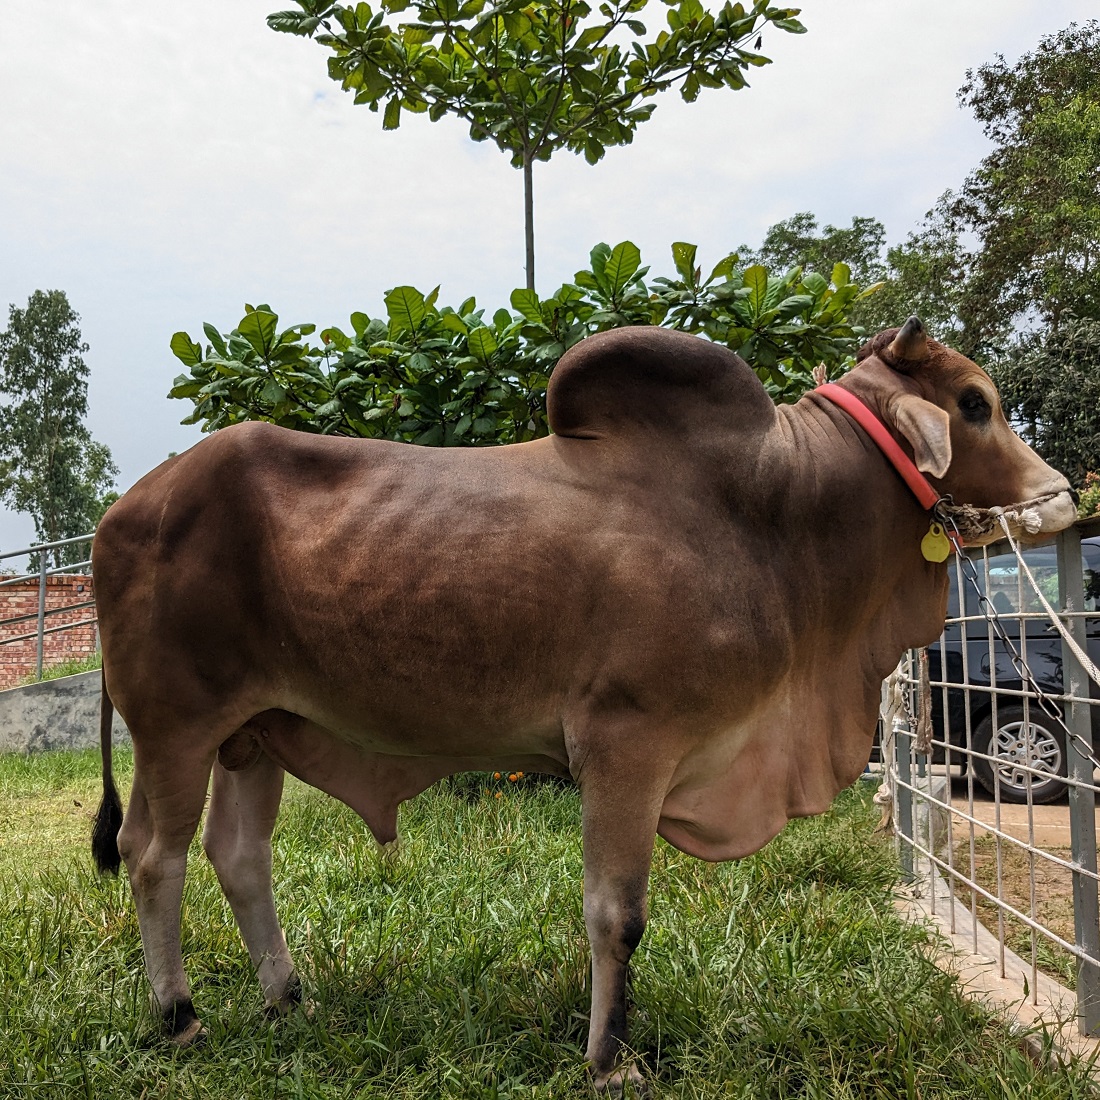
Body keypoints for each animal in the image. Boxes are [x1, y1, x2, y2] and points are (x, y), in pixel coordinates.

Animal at [92, 319, 1073, 1091]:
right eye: (975, 403)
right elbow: (617, 912)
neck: (776, 512)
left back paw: (287, 999)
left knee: (238, 856)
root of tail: (125, 509)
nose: (1062, 493)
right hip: (176, 726)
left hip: (252, 736)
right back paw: (179, 1015)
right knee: (152, 855)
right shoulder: (626, 742)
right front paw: (610, 1059)